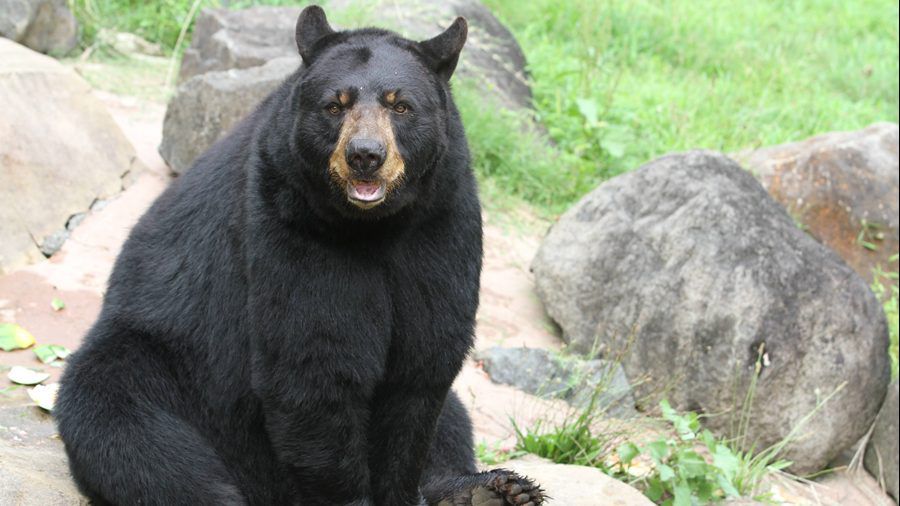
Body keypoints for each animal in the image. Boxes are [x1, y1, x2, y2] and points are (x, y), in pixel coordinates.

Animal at [58, 4, 548, 506]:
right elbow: (314, 366)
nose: (365, 155)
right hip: (155, 362)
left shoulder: (441, 225)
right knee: (135, 436)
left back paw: (487, 489)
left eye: (400, 105)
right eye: (335, 104)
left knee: (453, 419)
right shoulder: (290, 225)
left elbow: (422, 366)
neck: (375, 227)